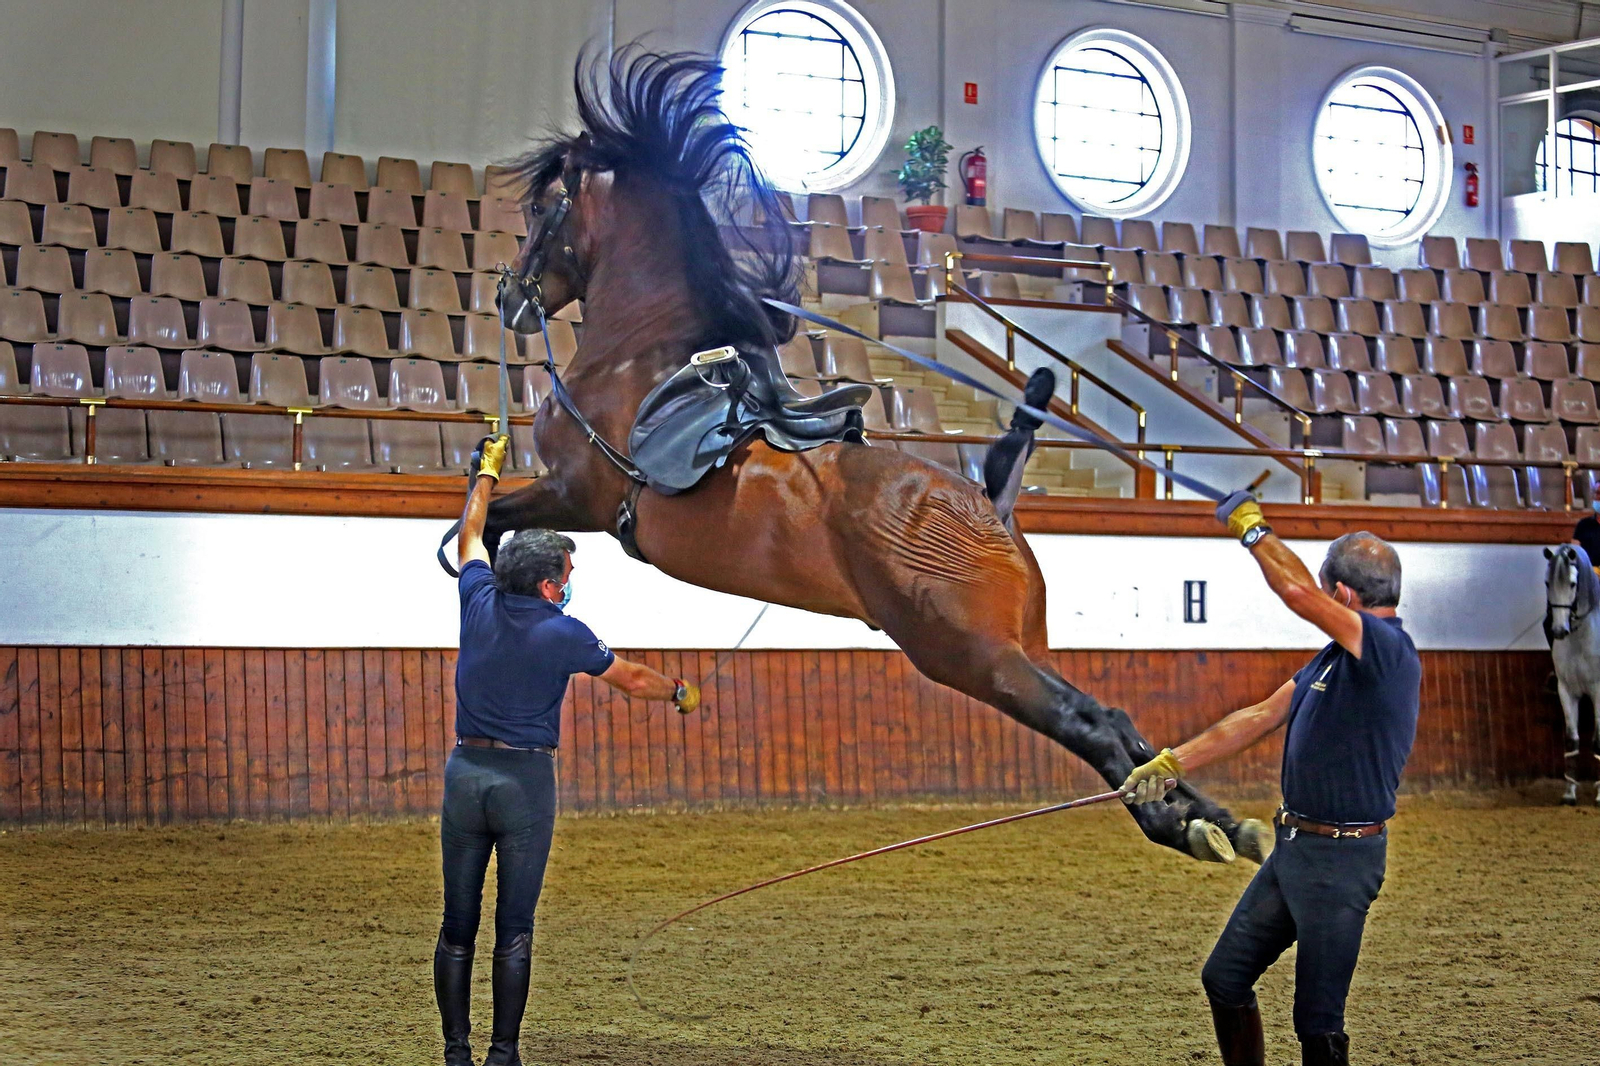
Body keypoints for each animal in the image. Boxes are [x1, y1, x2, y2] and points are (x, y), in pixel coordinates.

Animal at [483, 47, 1254, 862]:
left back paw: (1183, 826)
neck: (642, 358)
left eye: (542, 209)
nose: (511, 299)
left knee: (1094, 724)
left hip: (971, 655)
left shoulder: (575, 492)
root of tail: (987, 500)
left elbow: (494, 524)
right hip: (1020, 645)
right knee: (1128, 726)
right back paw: (1215, 822)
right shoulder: (571, 495)